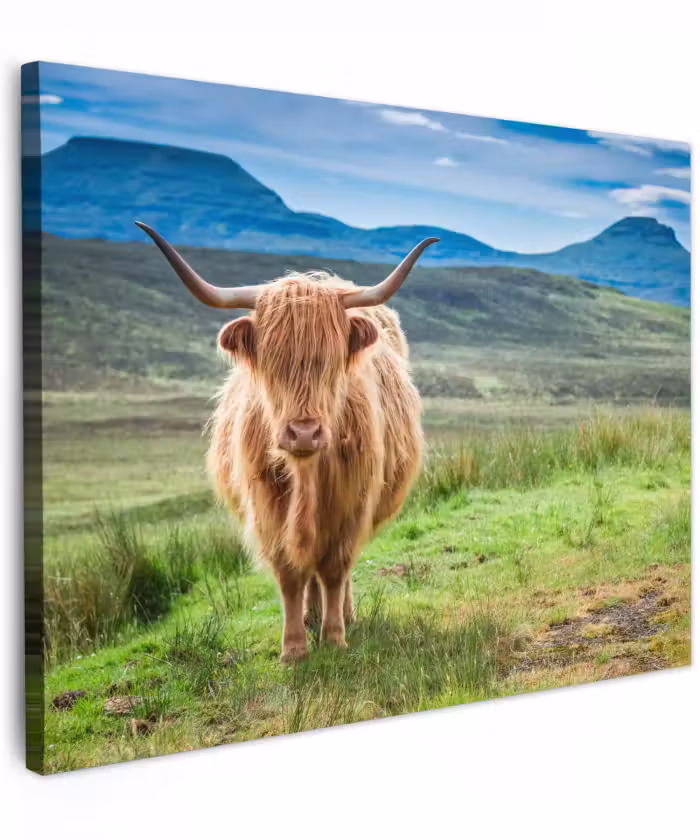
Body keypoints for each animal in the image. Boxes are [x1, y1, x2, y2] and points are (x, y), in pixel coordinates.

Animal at [135, 221, 437, 662]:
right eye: (271, 361)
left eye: (330, 360)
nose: (304, 432)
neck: (307, 474)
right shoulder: (267, 505)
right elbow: (291, 573)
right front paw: (294, 648)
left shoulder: (352, 502)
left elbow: (335, 569)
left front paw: (335, 637)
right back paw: (311, 616)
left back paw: (343, 615)